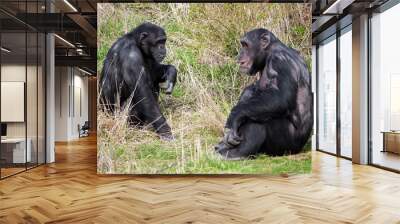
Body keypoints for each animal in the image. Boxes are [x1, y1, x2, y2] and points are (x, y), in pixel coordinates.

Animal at [214, 28, 314, 159]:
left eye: (245, 45)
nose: (239, 55)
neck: (269, 53)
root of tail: (301, 148)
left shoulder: (280, 61)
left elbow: (280, 98)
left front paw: (234, 117)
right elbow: (253, 89)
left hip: (287, 145)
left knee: (254, 118)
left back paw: (235, 154)